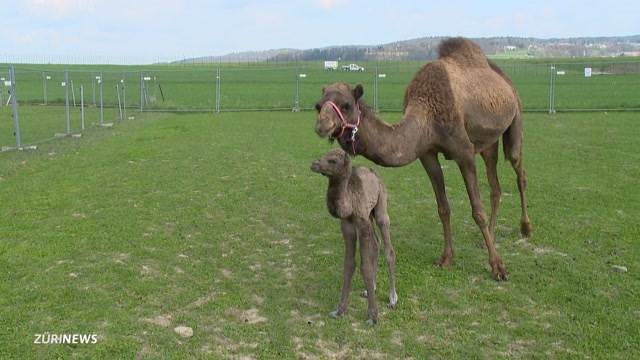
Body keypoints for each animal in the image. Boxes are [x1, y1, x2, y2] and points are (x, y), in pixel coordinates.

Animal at [310, 148, 396, 324]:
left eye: (333, 160)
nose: (314, 164)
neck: (348, 205)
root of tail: (375, 174)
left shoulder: (361, 224)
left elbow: (365, 266)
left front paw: (373, 316)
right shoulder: (347, 226)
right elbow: (349, 264)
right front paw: (339, 310)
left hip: (380, 207)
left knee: (388, 249)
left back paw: (392, 299)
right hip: (369, 214)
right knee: (376, 244)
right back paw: (371, 289)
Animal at [314, 38, 528, 282]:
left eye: (346, 105)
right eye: (318, 106)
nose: (322, 125)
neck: (428, 111)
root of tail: (503, 78)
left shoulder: (464, 152)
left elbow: (477, 211)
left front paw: (498, 267)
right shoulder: (427, 154)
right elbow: (443, 208)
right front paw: (446, 258)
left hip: (515, 119)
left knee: (518, 170)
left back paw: (525, 228)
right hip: (487, 143)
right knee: (495, 187)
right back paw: (490, 238)